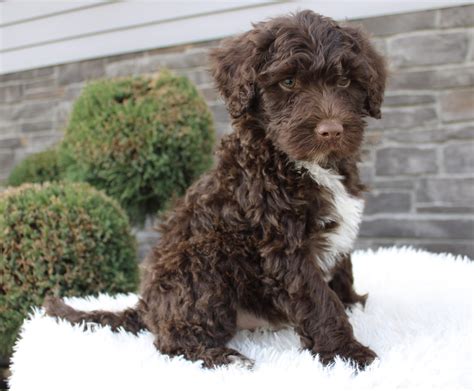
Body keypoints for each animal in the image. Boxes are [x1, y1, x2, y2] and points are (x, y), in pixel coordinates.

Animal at [43, 9, 386, 370]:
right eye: (289, 82)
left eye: (345, 82)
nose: (331, 131)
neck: (300, 163)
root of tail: (146, 307)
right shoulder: (283, 244)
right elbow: (318, 299)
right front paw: (347, 353)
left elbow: (343, 271)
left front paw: (353, 303)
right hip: (201, 258)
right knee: (170, 340)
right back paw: (224, 357)